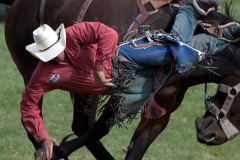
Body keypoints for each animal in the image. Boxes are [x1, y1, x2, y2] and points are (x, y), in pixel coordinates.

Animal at [3, 0, 240, 159]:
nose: (206, 131)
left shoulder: (159, 114)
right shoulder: (124, 93)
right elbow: (100, 128)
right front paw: (56, 151)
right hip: (37, 73)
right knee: (72, 123)